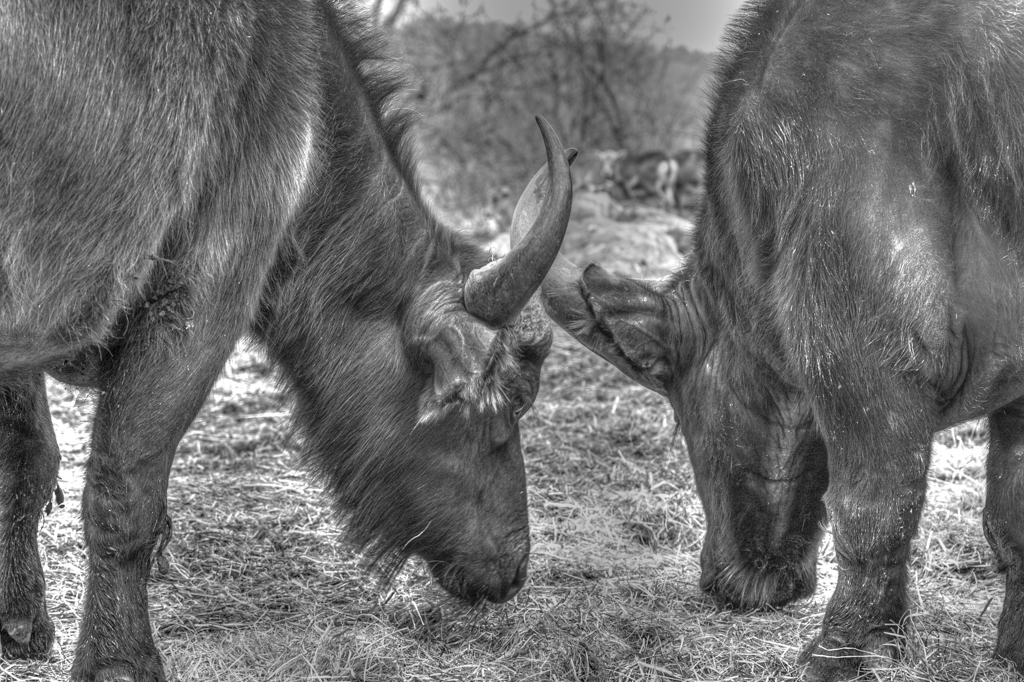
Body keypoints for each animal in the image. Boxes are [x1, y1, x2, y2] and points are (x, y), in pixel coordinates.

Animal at [0, 2, 577, 675]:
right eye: (513, 402)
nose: (515, 569)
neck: (310, 109)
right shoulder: (200, 308)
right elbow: (125, 498)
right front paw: (119, 662)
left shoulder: (26, 341)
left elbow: (30, 457)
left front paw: (18, 620)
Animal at [520, 0, 1024, 675]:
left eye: (679, 413)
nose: (722, 581)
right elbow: (1011, 520)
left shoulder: (864, 369)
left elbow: (872, 513)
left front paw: (839, 650)